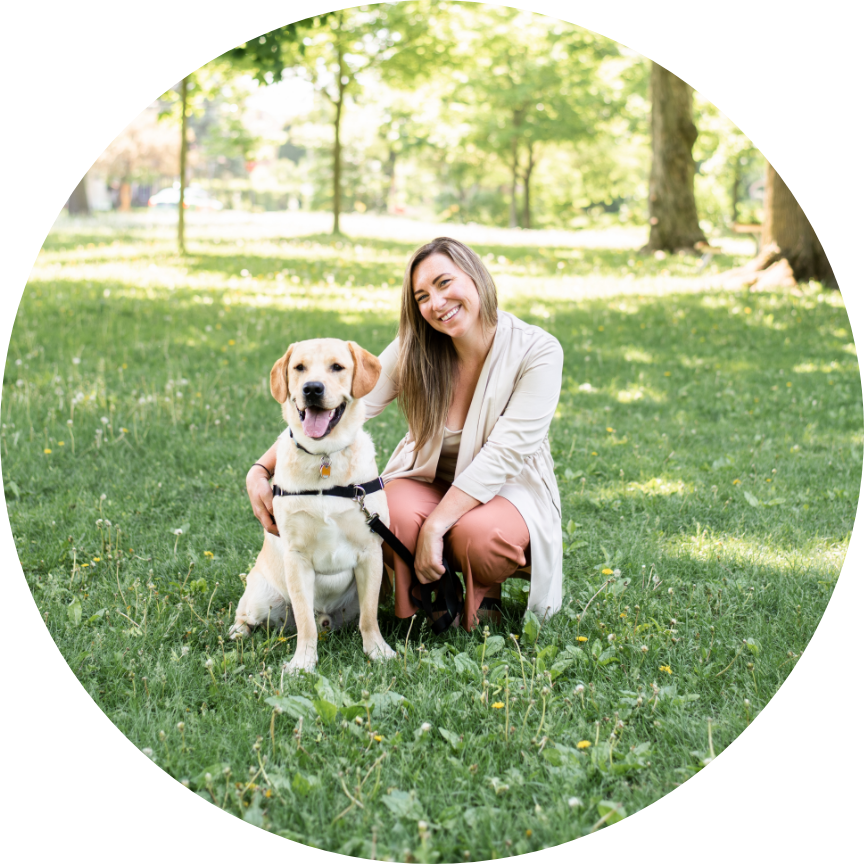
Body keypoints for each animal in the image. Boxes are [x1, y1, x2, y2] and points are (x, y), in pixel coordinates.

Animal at [226, 338, 394, 676]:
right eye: (299, 367)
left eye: (337, 367)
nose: (312, 389)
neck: (324, 457)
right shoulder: (296, 557)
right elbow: (305, 621)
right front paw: (303, 662)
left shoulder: (370, 551)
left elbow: (369, 617)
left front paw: (377, 651)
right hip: (261, 596)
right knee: (248, 615)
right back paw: (238, 631)